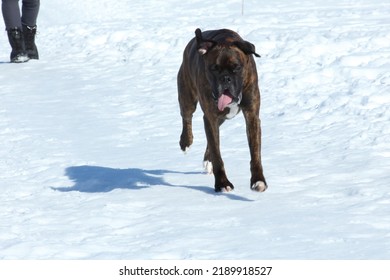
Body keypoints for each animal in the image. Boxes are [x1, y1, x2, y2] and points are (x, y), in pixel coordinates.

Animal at [177, 28, 266, 192]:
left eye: (237, 67)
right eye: (214, 68)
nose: (225, 78)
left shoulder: (252, 116)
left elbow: (255, 153)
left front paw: (258, 180)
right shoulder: (210, 117)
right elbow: (217, 154)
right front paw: (222, 183)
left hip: (222, 117)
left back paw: (207, 160)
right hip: (187, 96)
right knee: (187, 117)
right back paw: (185, 142)